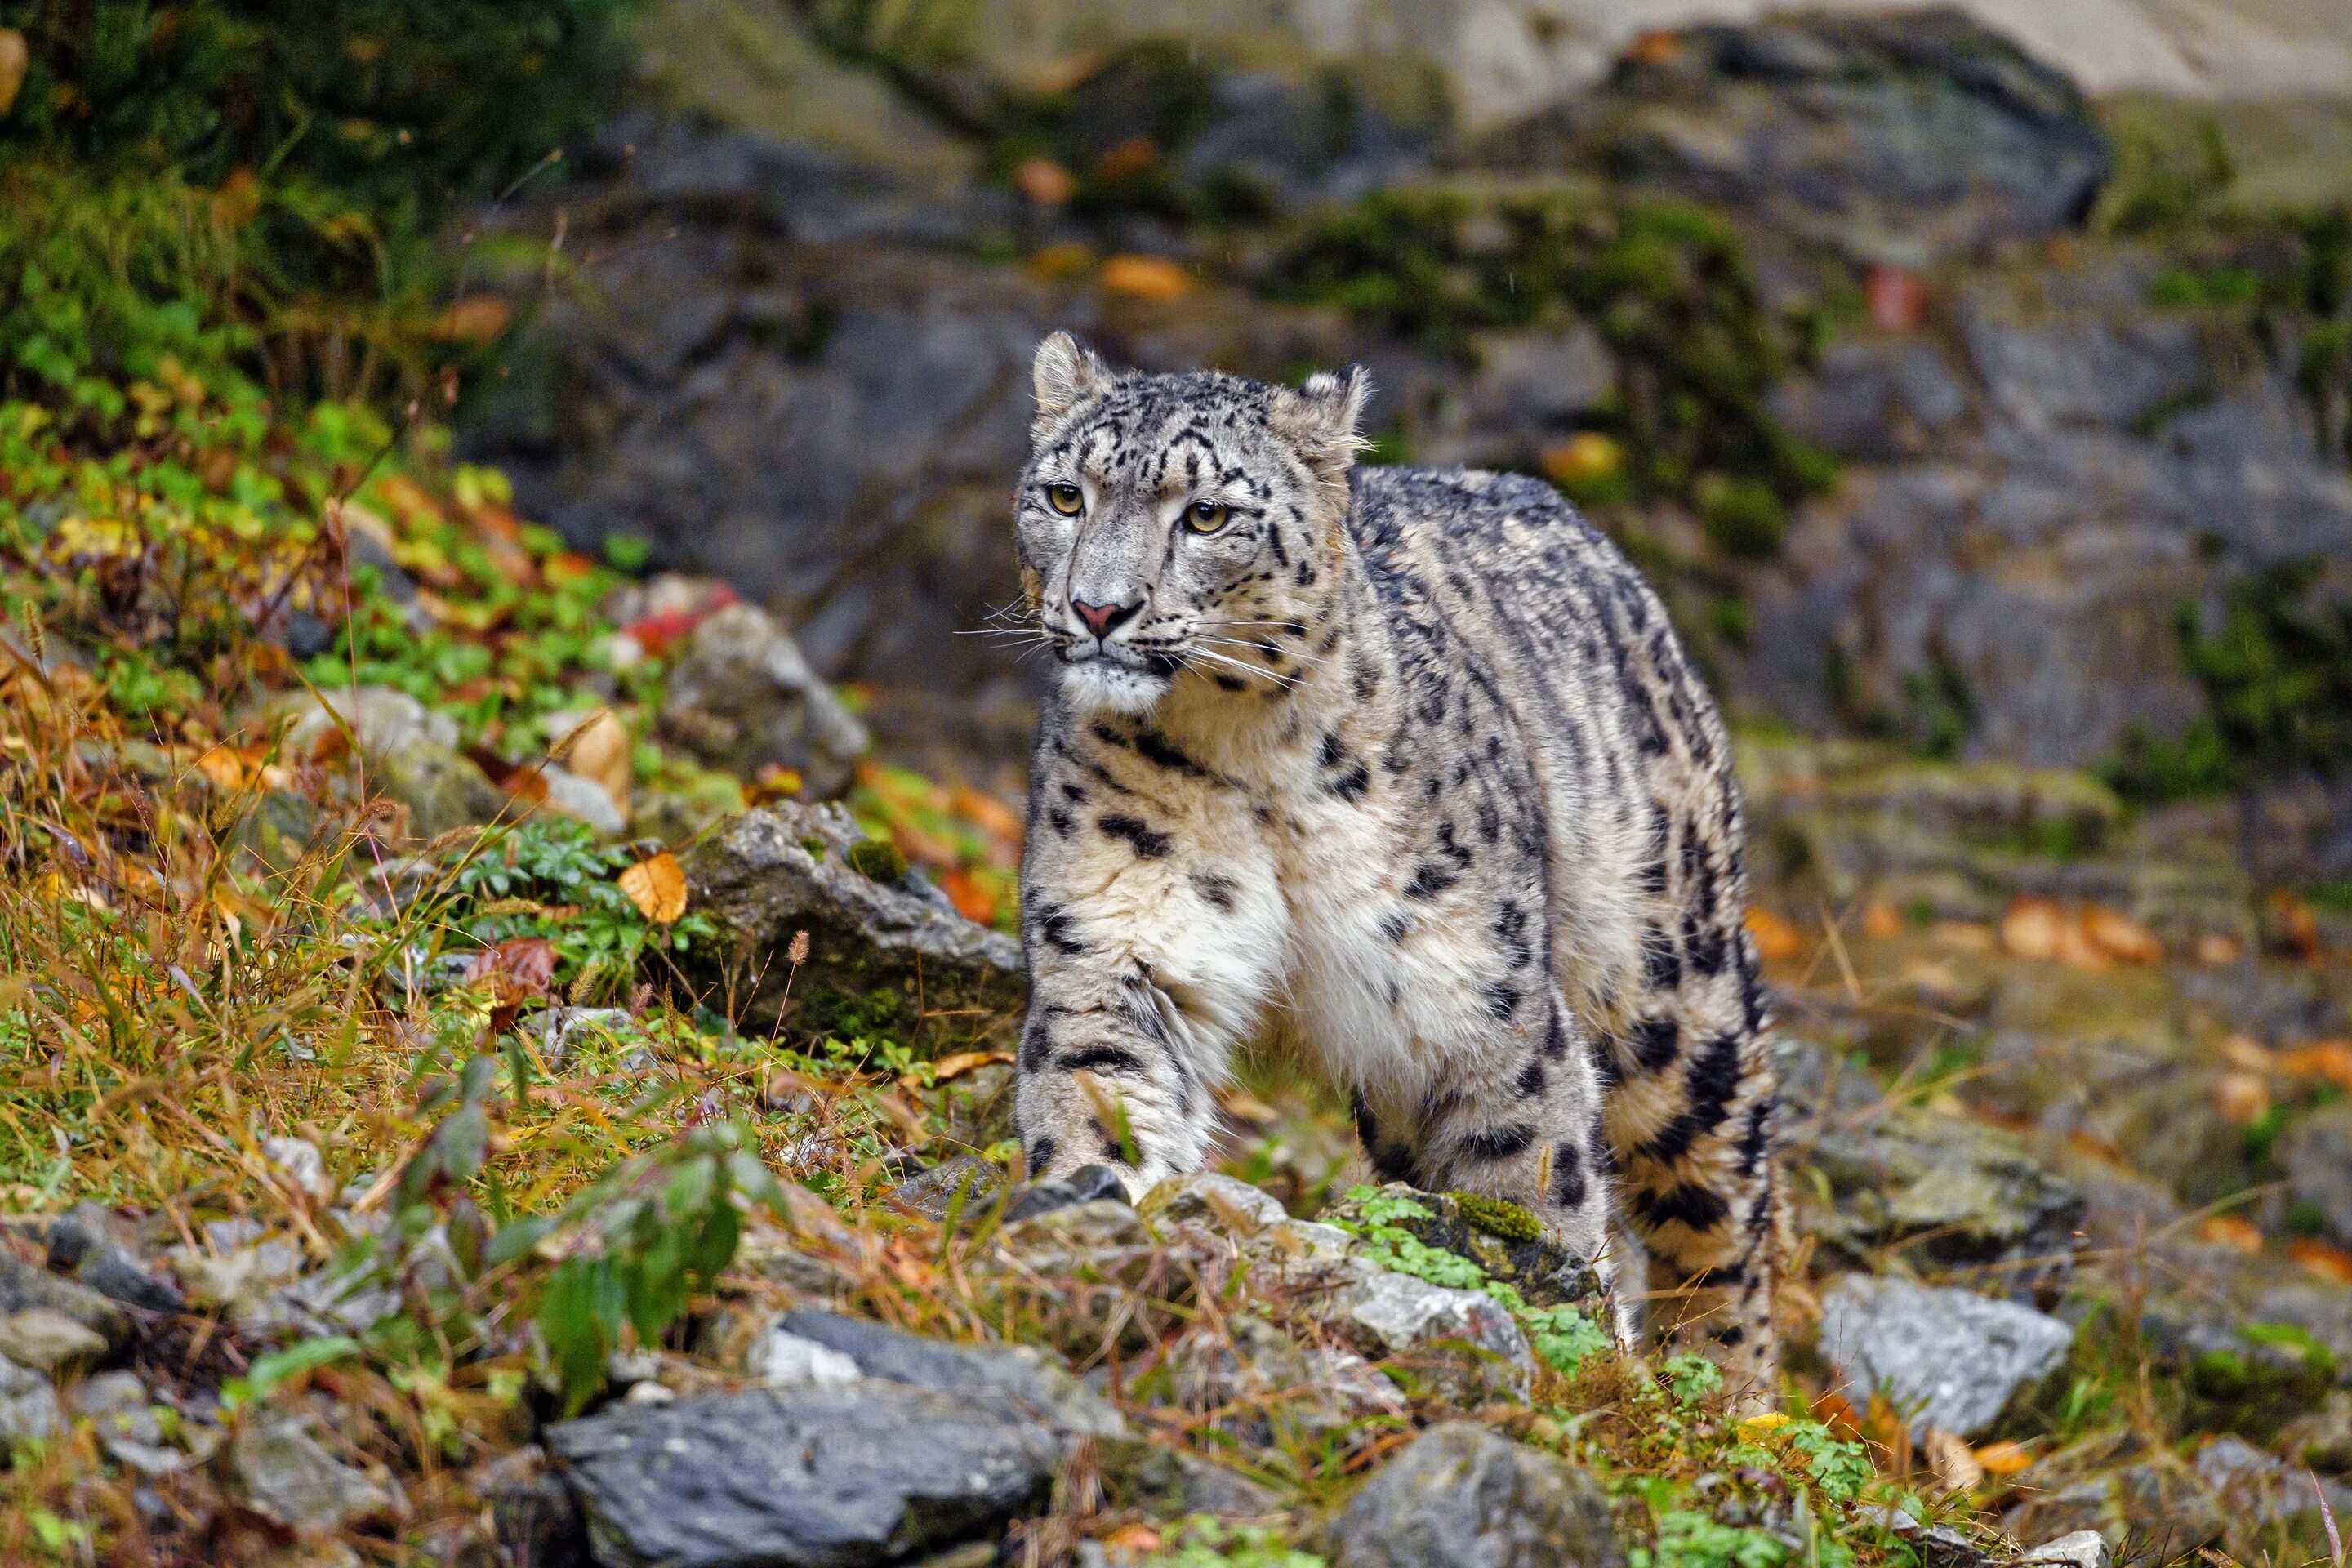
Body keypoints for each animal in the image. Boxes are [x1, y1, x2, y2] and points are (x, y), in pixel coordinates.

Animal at [1006, 331, 1778, 1401]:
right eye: (1064, 495)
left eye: (1207, 514)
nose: (1097, 608)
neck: (1245, 761)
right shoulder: (1117, 939)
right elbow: (1098, 1084)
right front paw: (1096, 1210)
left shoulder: (1481, 999)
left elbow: (1532, 1178)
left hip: (1672, 986)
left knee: (1723, 1203)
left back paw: (1735, 1394)